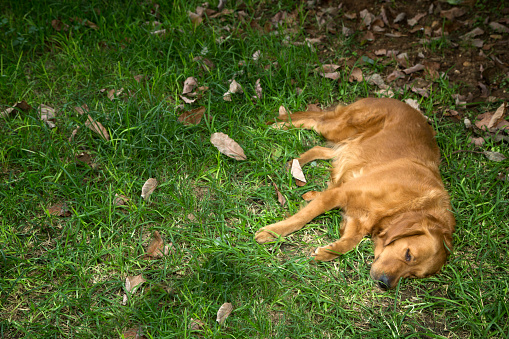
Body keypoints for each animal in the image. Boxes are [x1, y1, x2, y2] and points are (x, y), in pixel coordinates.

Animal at [256, 97, 454, 290]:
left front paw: (326, 252)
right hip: (339, 128)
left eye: (412, 275)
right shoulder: (340, 194)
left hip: (353, 146)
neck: (405, 205)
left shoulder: (357, 221)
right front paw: (272, 232)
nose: (385, 284)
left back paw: (294, 163)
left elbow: (349, 243)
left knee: (323, 149)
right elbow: (301, 218)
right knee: (314, 121)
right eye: (408, 254)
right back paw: (277, 127)